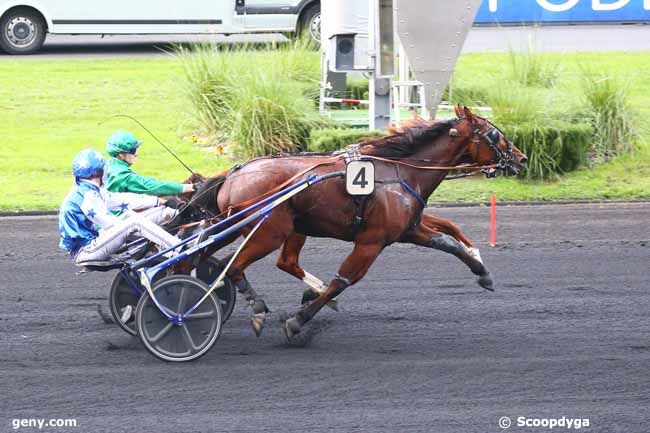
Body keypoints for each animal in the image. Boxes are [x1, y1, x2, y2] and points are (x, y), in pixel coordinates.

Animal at [190, 106, 524, 340]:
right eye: (494, 134)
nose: (521, 159)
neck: (401, 171)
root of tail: (234, 174)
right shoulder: (372, 242)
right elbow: (343, 280)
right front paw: (298, 321)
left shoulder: (409, 229)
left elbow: (449, 240)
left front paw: (482, 271)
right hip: (269, 232)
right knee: (233, 266)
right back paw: (253, 309)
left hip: (250, 227)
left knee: (210, 258)